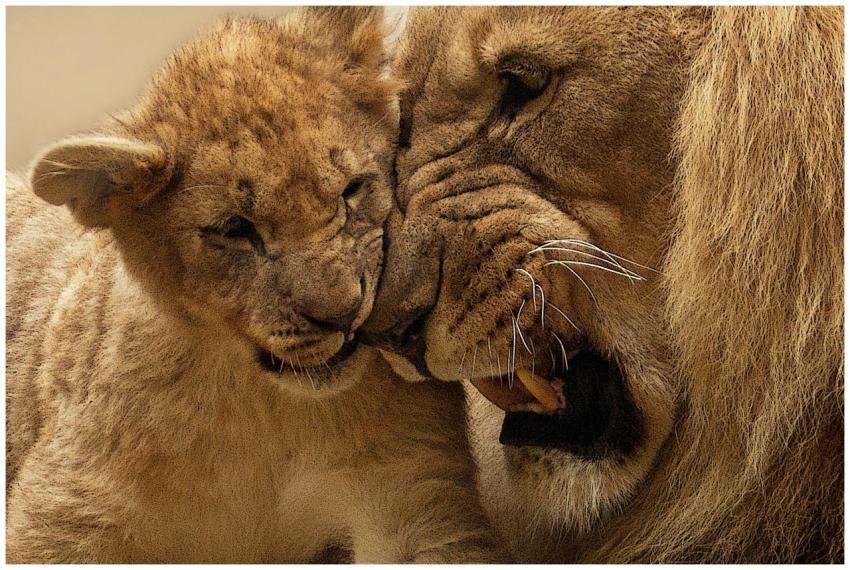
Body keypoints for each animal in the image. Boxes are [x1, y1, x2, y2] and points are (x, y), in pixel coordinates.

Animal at [5, 8, 504, 563]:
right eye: (234, 229)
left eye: (353, 189)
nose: (344, 313)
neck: (266, 406)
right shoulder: (70, 513)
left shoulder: (413, 495)